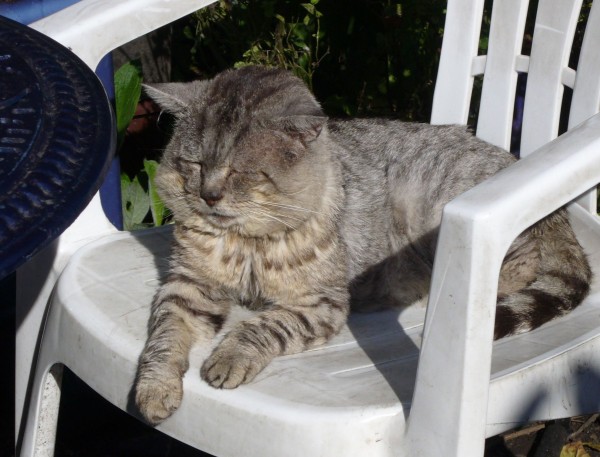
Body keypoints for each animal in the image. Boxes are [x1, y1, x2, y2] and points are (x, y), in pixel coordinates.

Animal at [132, 64, 592, 424]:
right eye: (193, 164)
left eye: (240, 171)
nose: (208, 196)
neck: (245, 245)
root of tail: (511, 158)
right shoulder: (186, 286)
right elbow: (164, 336)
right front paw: (154, 390)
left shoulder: (321, 303)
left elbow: (261, 326)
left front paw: (229, 357)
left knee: (523, 262)